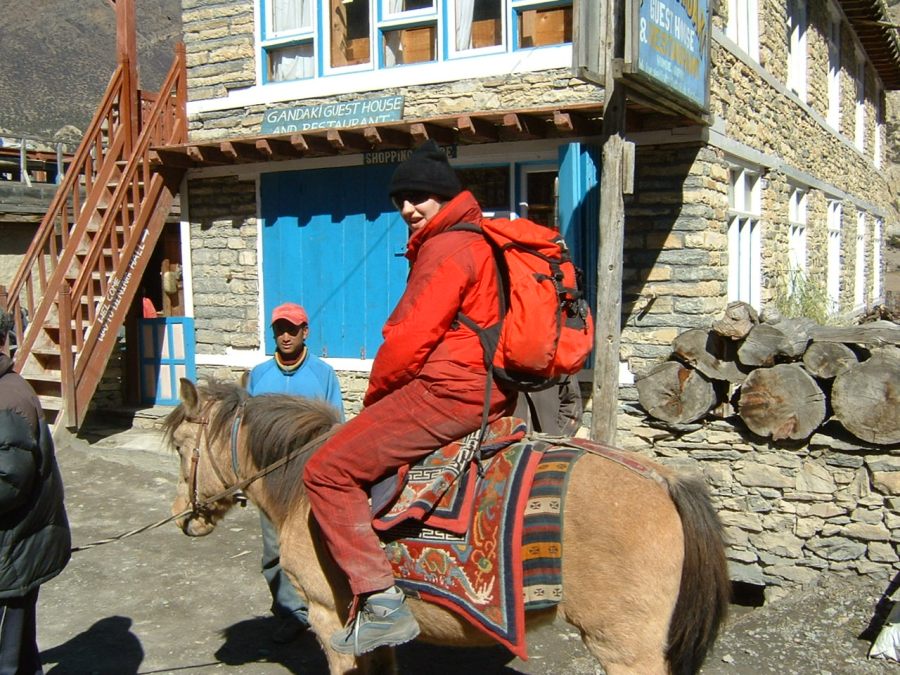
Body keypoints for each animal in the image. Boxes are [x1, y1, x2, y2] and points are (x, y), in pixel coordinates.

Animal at [163, 380, 732, 675]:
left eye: (181, 448)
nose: (182, 517)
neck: (303, 488)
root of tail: (665, 481)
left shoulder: (328, 621)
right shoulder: (369, 631)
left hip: (626, 651)